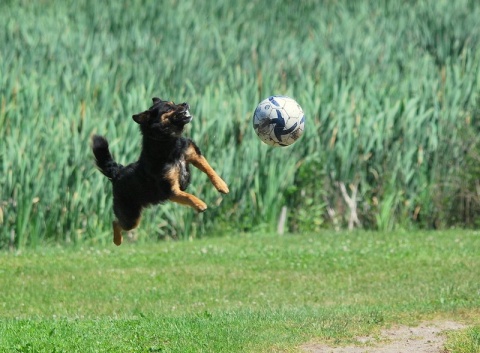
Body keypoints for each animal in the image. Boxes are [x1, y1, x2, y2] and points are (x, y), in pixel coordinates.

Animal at [93, 96, 231, 245]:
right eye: (169, 108)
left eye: (173, 102)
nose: (185, 103)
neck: (167, 142)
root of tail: (118, 172)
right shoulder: (171, 190)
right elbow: (187, 196)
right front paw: (199, 204)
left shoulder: (193, 153)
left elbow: (209, 169)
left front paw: (222, 185)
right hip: (130, 216)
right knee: (116, 222)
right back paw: (117, 240)